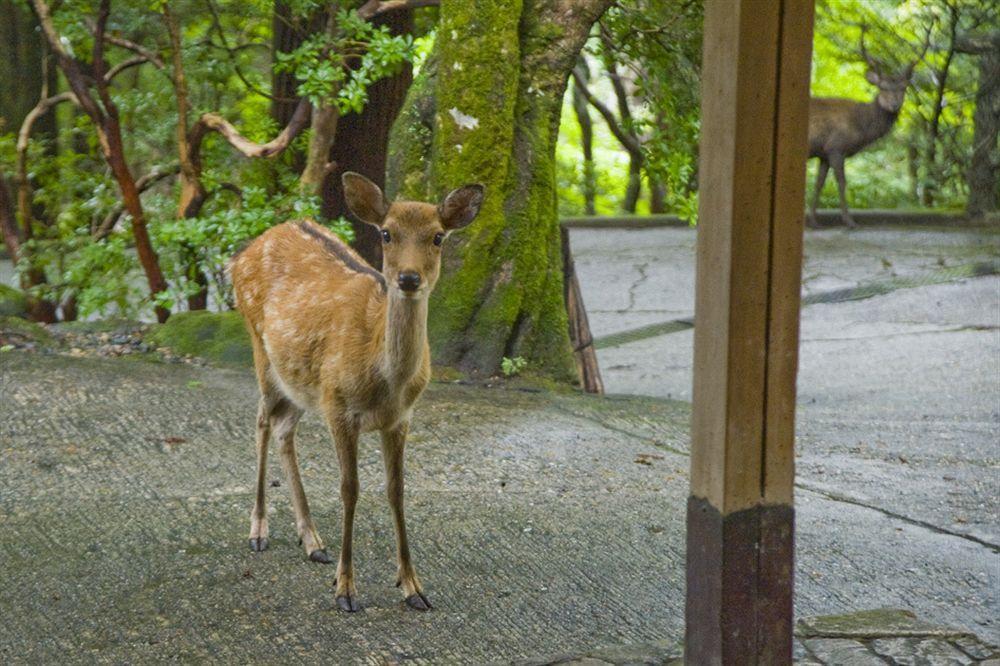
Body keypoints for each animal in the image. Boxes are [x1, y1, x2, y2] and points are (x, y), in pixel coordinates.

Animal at [231, 172, 488, 612]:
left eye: (438, 236)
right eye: (386, 233)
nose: (408, 278)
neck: (385, 381)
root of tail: (241, 255)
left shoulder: (401, 418)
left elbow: (396, 491)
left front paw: (413, 587)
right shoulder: (339, 407)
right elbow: (349, 490)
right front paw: (345, 590)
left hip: (300, 381)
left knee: (283, 429)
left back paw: (313, 541)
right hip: (260, 350)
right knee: (263, 422)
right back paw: (259, 531)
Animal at [804, 27, 928, 228]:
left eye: (903, 88)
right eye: (883, 87)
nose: (894, 104)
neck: (861, 127)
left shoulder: (824, 153)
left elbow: (818, 184)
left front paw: (814, 221)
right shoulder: (836, 146)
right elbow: (842, 182)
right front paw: (849, 221)